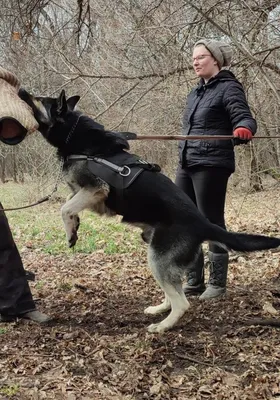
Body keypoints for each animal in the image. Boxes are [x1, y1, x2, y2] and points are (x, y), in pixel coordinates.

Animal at [18, 89, 280, 332]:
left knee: (182, 303)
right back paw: (159, 309)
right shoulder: (83, 193)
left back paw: (163, 326)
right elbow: (69, 205)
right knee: (173, 293)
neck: (75, 136)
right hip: (159, 255)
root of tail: (203, 224)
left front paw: (70, 232)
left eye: (40, 99)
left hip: (157, 258)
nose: (20, 91)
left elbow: (63, 208)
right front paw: (74, 227)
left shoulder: (95, 189)